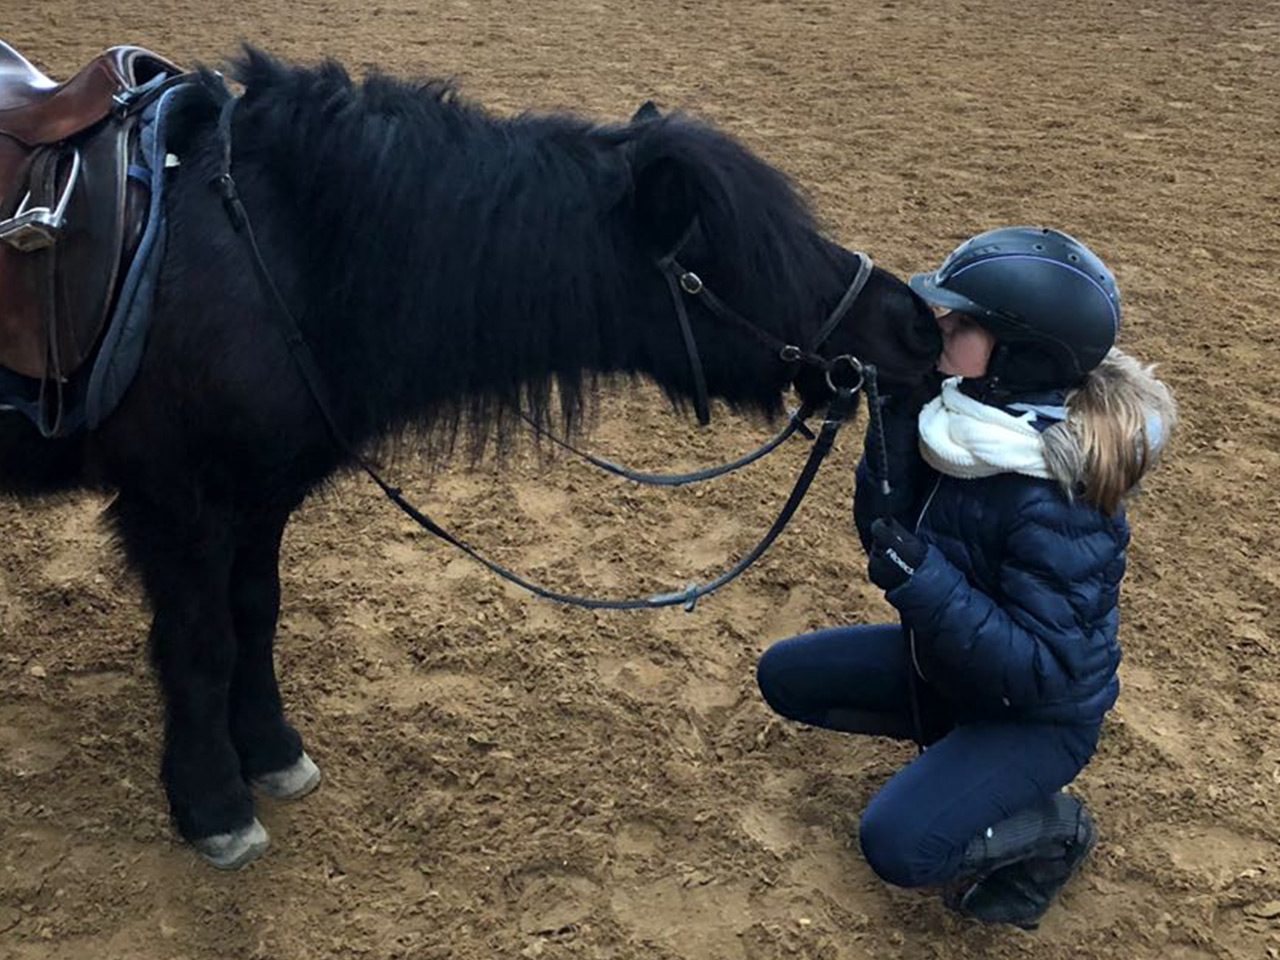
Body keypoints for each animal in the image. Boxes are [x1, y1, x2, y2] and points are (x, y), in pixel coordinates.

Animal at [0, 47, 941, 868]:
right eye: (751, 255)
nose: (918, 329)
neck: (263, 252)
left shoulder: (261, 497)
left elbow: (255, 615)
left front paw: (270, 752)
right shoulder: (178, 503)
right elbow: (201, 645)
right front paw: (214, 807)